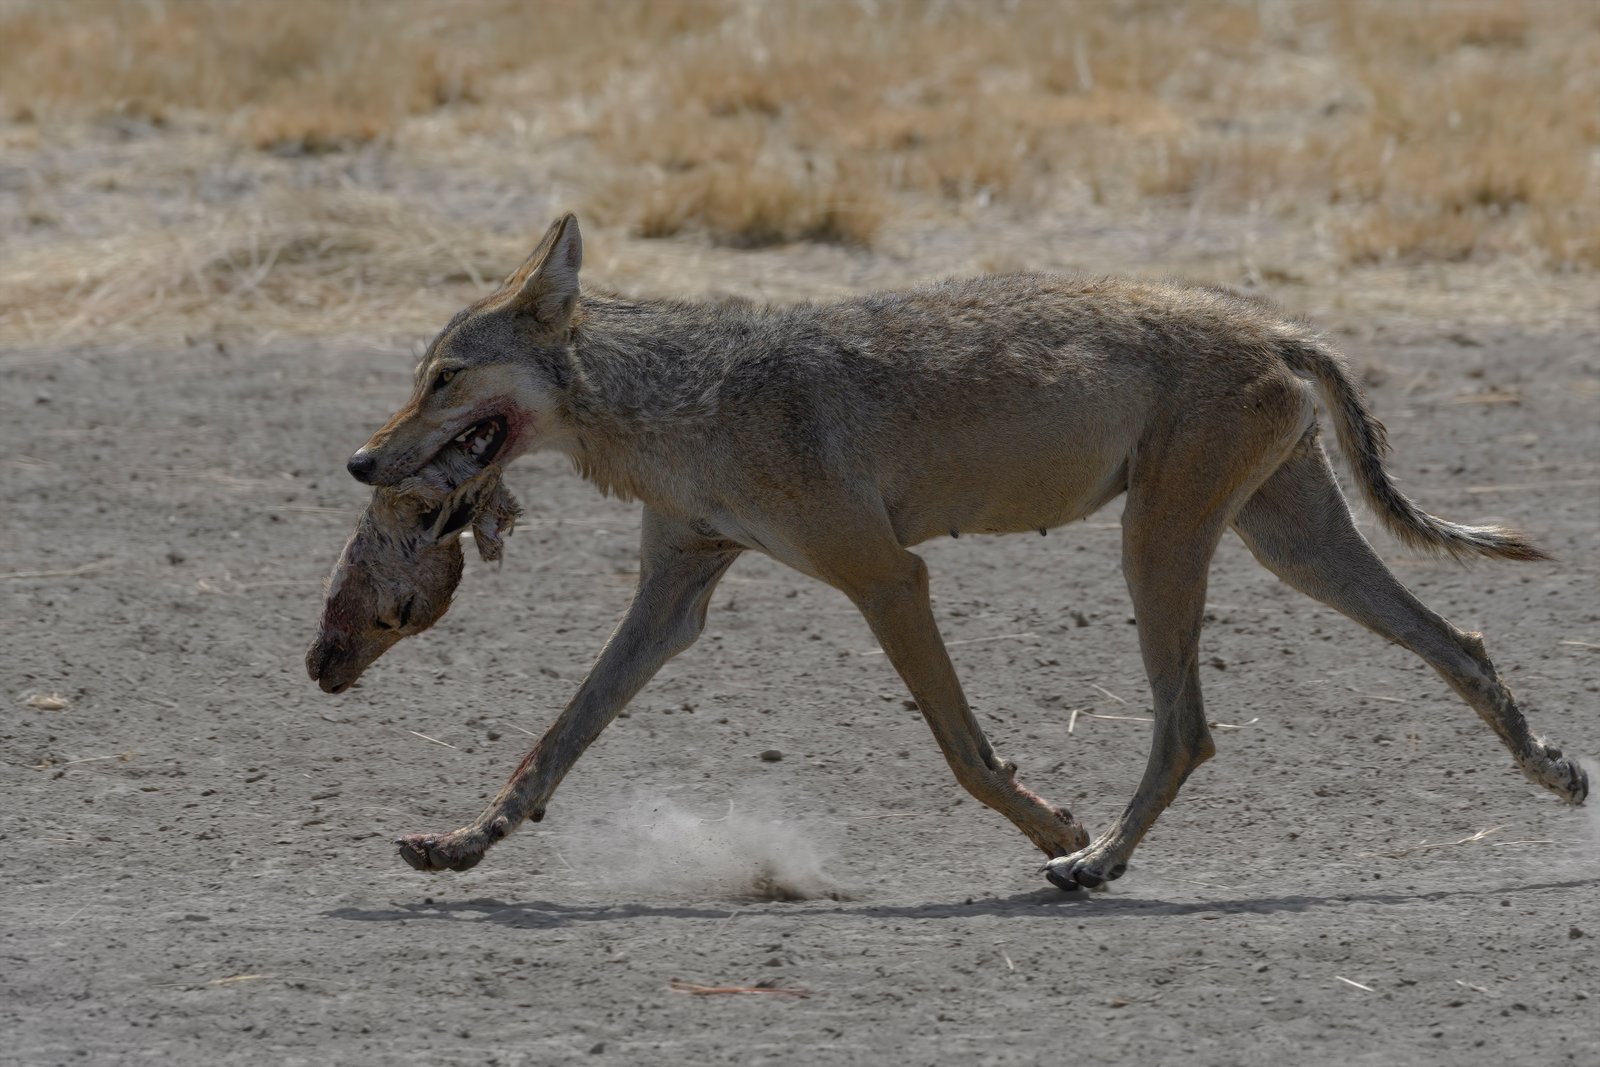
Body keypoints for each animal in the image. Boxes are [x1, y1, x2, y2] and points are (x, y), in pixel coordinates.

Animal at [311, 213, 1587, 891]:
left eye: (444, 377)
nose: (363, 464)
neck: (680, 401)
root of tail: (1275, 323)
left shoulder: (886, 576)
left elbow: (966, 753)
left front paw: (1056, 826)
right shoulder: (672, 598)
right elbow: (550, 744)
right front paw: (461, 843)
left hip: (1159, 547)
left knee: (1189, 727)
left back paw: (1096, 862)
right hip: (1288, 547)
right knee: (1461, 640)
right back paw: (1555, 770)